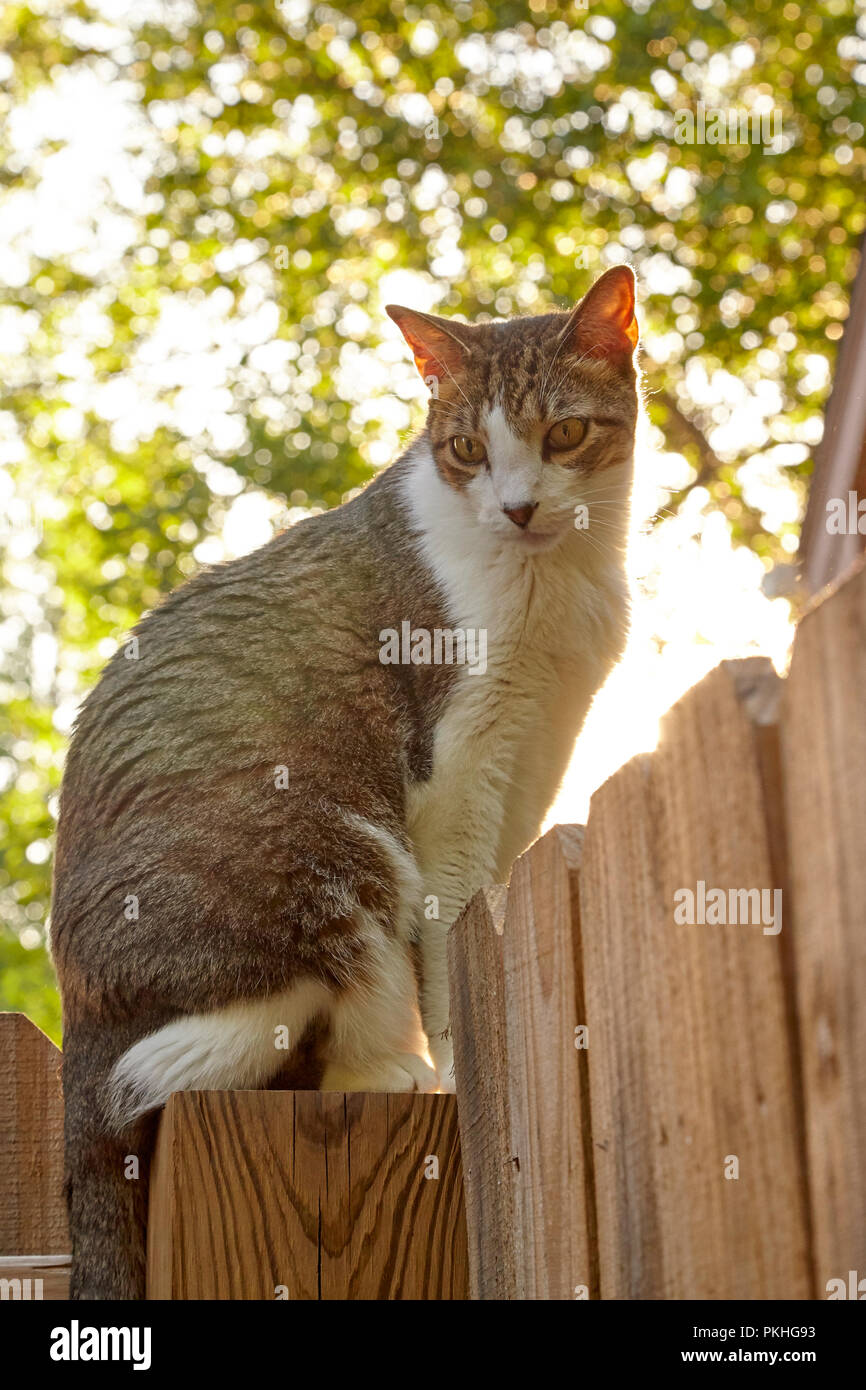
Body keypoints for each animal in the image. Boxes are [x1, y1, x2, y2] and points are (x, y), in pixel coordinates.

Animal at [50, 265, 639, 1295]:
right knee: (229, 1044)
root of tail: (75, 1019)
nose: (519, 507)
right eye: (466, 448)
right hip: (320, 837)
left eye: (564, 433)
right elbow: (446, 941)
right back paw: (390, 1070)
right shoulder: (453, 777)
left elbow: (488, 915)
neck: (553, 579)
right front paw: (461, 1064)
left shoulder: (536, 752)